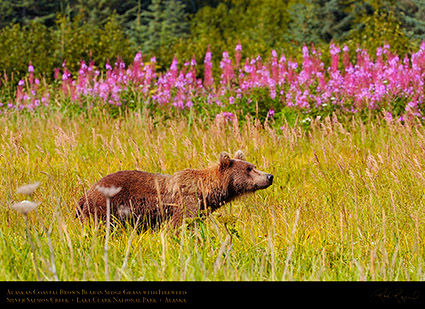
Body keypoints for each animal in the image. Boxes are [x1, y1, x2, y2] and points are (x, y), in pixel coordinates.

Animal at [76, 150, 274, 227]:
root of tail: (85, 194)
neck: (205, 191)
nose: (269, 176)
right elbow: (180, 224)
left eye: (253, 166)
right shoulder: (186, 201)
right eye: (249, 169)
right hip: (105, 208)